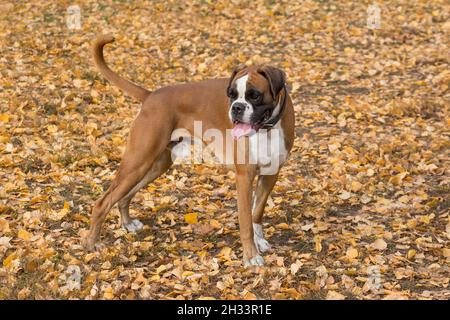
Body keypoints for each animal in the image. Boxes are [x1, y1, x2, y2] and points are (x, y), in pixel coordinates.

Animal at [83, 34, 296, 268]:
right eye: (232, 95)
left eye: (254, 95)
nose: (236, 108)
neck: (267, 128)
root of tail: (151, 95)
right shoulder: (244, 177)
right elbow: (246, 221)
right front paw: (251, 256)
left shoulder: (270, 174)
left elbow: (257, 212)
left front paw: (260, 242)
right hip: (138, 161)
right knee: (103, 202)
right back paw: (92, 244)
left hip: (155, 165)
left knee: (124, 195)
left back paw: (127, 223)